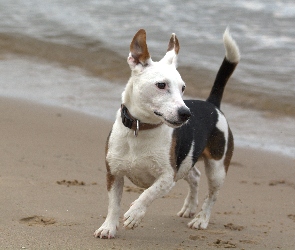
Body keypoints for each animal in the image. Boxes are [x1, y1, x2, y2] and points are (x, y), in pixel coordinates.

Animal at [95, 27, 240, 238]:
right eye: (161, 85)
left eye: (183, 88)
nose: (186, 113)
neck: (140, 128)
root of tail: (212, 104)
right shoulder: (114, 173)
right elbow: (113, 204)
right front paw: (108, 227)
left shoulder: (168, 177)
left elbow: (148, 193)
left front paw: (135, 214)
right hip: (187, 162)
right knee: (195, 176)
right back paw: (189, 208)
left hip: (217, 168)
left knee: (212, 195)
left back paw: (201, 219)